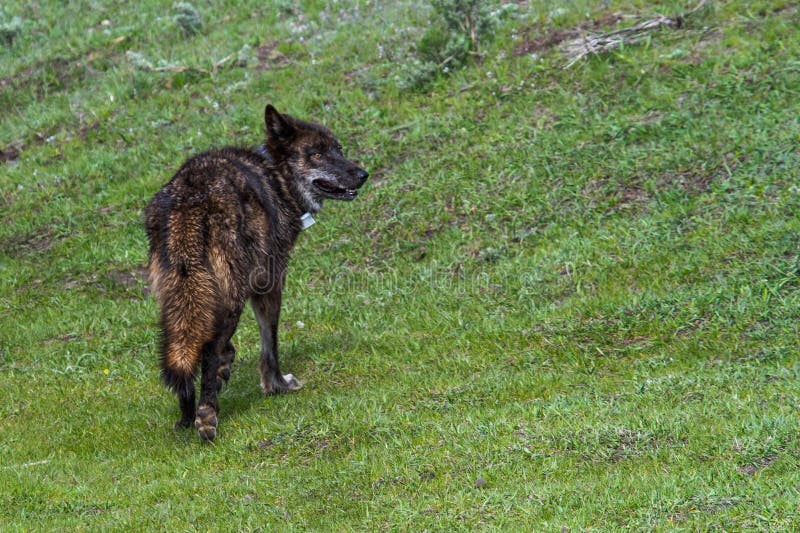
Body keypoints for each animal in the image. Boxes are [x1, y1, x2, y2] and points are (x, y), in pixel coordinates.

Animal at [144, 104, 368, 441]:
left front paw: (227, 367)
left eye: (338, 149)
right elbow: (269, 342)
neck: (275, 175)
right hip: (233, 296)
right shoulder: (269, 283)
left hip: (179, 298)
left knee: (184, 346)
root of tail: (190, 200)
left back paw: (185, 417)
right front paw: (277, 385)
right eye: (316, 154)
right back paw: (206, 418)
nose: (362, 174)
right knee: (207, 351)